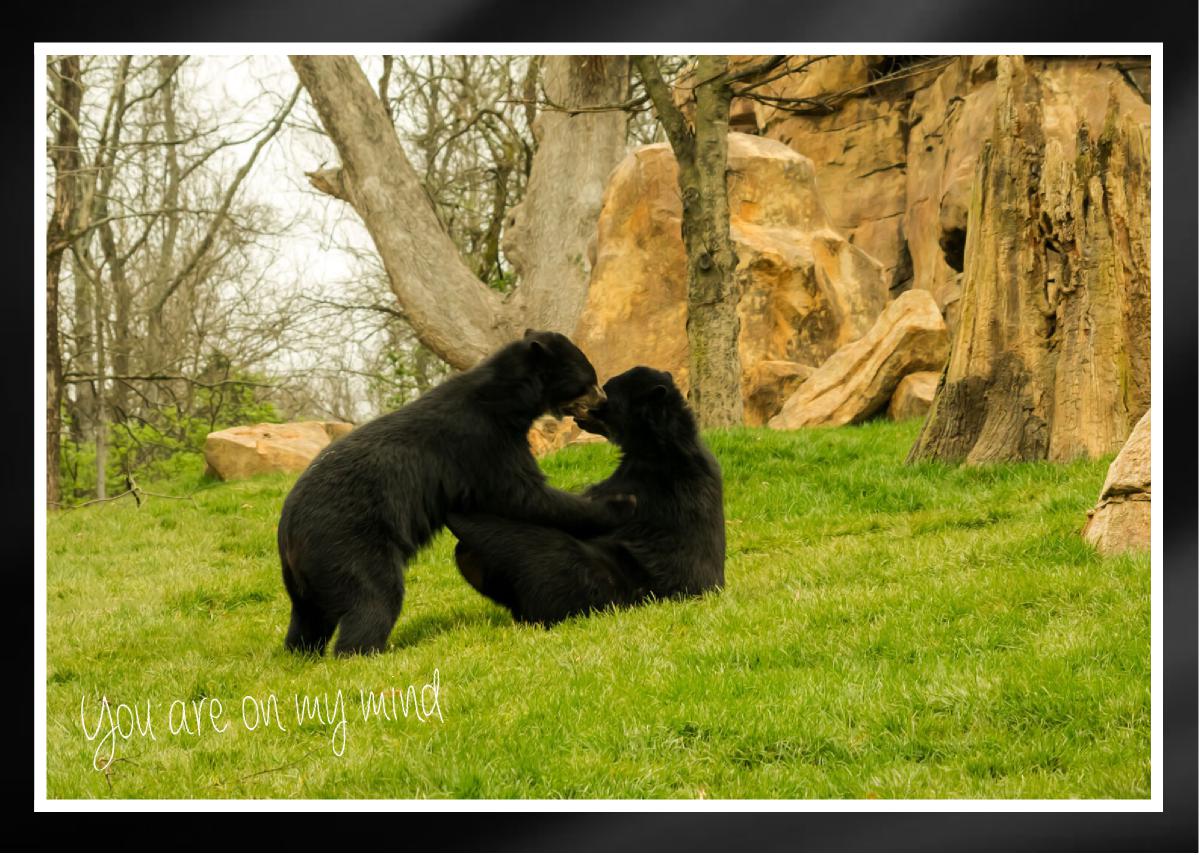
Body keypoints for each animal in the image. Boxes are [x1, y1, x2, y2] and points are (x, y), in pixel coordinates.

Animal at [277, 330, 634, 656]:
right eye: (590, 379)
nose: (602, 400)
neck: (505, 399)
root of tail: (288, 535)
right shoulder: (482, 443)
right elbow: (526, 495)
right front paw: (618, 504)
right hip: (350, 544)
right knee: (373, 599)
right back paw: (370, 651)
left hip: (312, 577)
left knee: (309, 620)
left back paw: (302, 651)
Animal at [446, 366, 725, 626]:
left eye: (605, 393)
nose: (576, 413)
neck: (661, 442)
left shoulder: (640, 483)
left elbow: (588, 513)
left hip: (603, 582)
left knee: (543, 549)